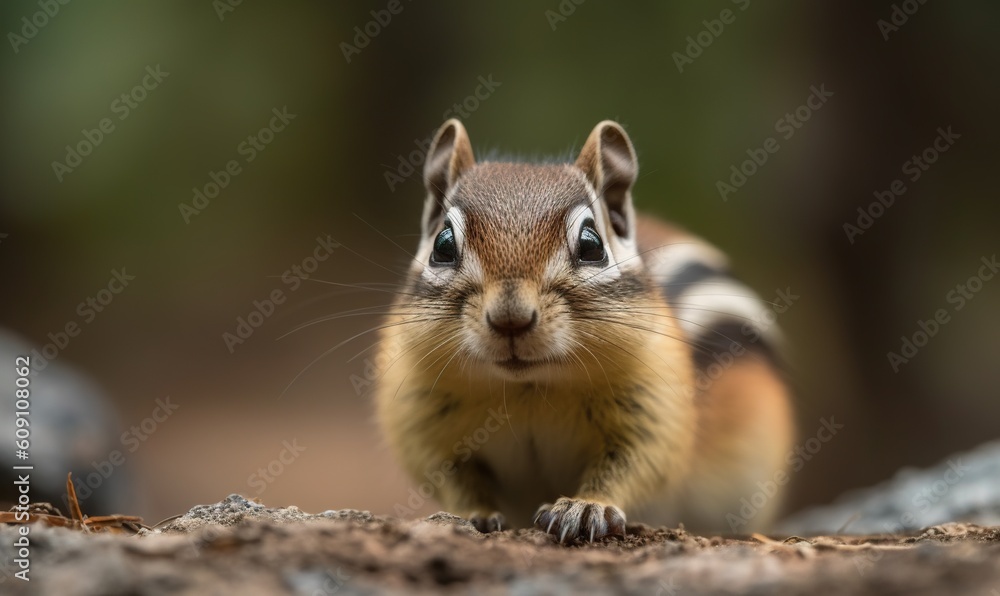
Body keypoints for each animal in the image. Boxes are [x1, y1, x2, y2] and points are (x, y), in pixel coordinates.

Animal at [374, 119, 794, 542]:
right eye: (443, 245)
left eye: (591, 245)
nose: (511, 318)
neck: (529, 389)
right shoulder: (421, 420)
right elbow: (447, 475)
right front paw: (474, 512)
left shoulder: (654, 407)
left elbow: (636, 464)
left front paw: (587, 506)